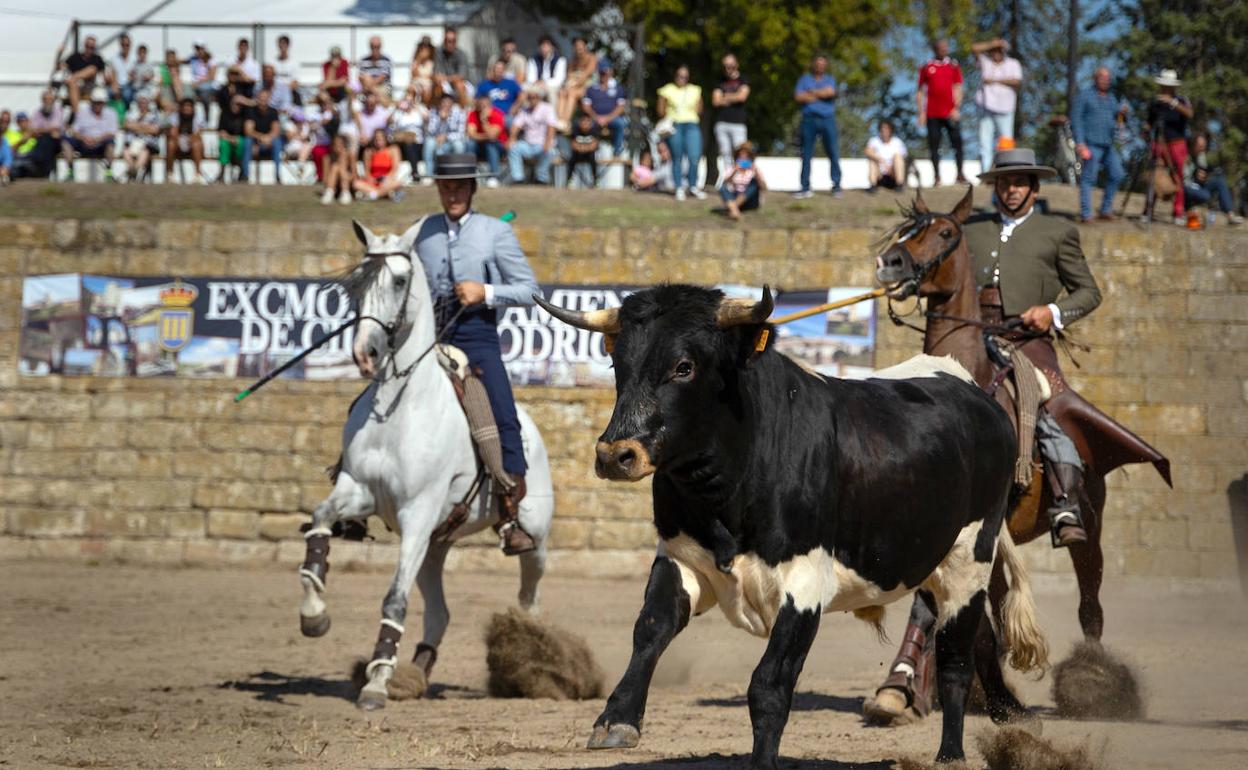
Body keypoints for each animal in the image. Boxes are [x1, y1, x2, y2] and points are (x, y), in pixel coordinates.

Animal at [534, 284, 1047, 768]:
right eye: (617, 363)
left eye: (684, 366)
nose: (615, 455)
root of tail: (974, 391)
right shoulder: (681, 557)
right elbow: (651, 628)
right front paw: (616, 718)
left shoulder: (805, 581)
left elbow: (769, 683)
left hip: (969, 556)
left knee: (955, 659)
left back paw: (950, 755)